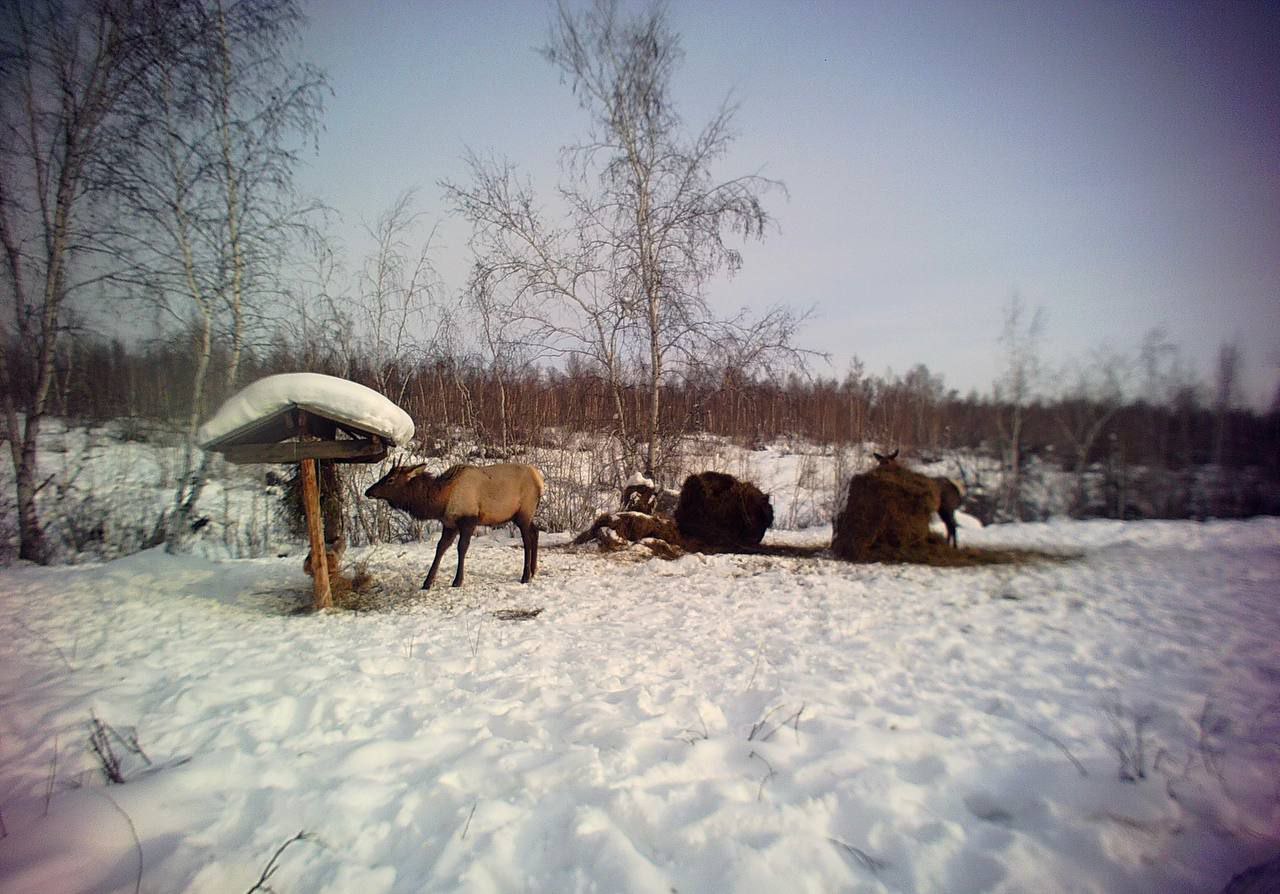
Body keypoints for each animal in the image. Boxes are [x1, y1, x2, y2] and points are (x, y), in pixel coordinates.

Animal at [363, 463, 542, 589]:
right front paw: (427, 582)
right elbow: (440, 548)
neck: (442, 501)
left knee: (527, 539)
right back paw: (533, 570)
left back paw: (525, 576)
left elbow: (462, 548)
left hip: (523, 512)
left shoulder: (468, 520)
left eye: (390, 480)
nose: (368, 491)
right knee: (535, 531)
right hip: (523, 515)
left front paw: (457, 581)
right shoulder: (449, 524)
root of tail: (541, 481)